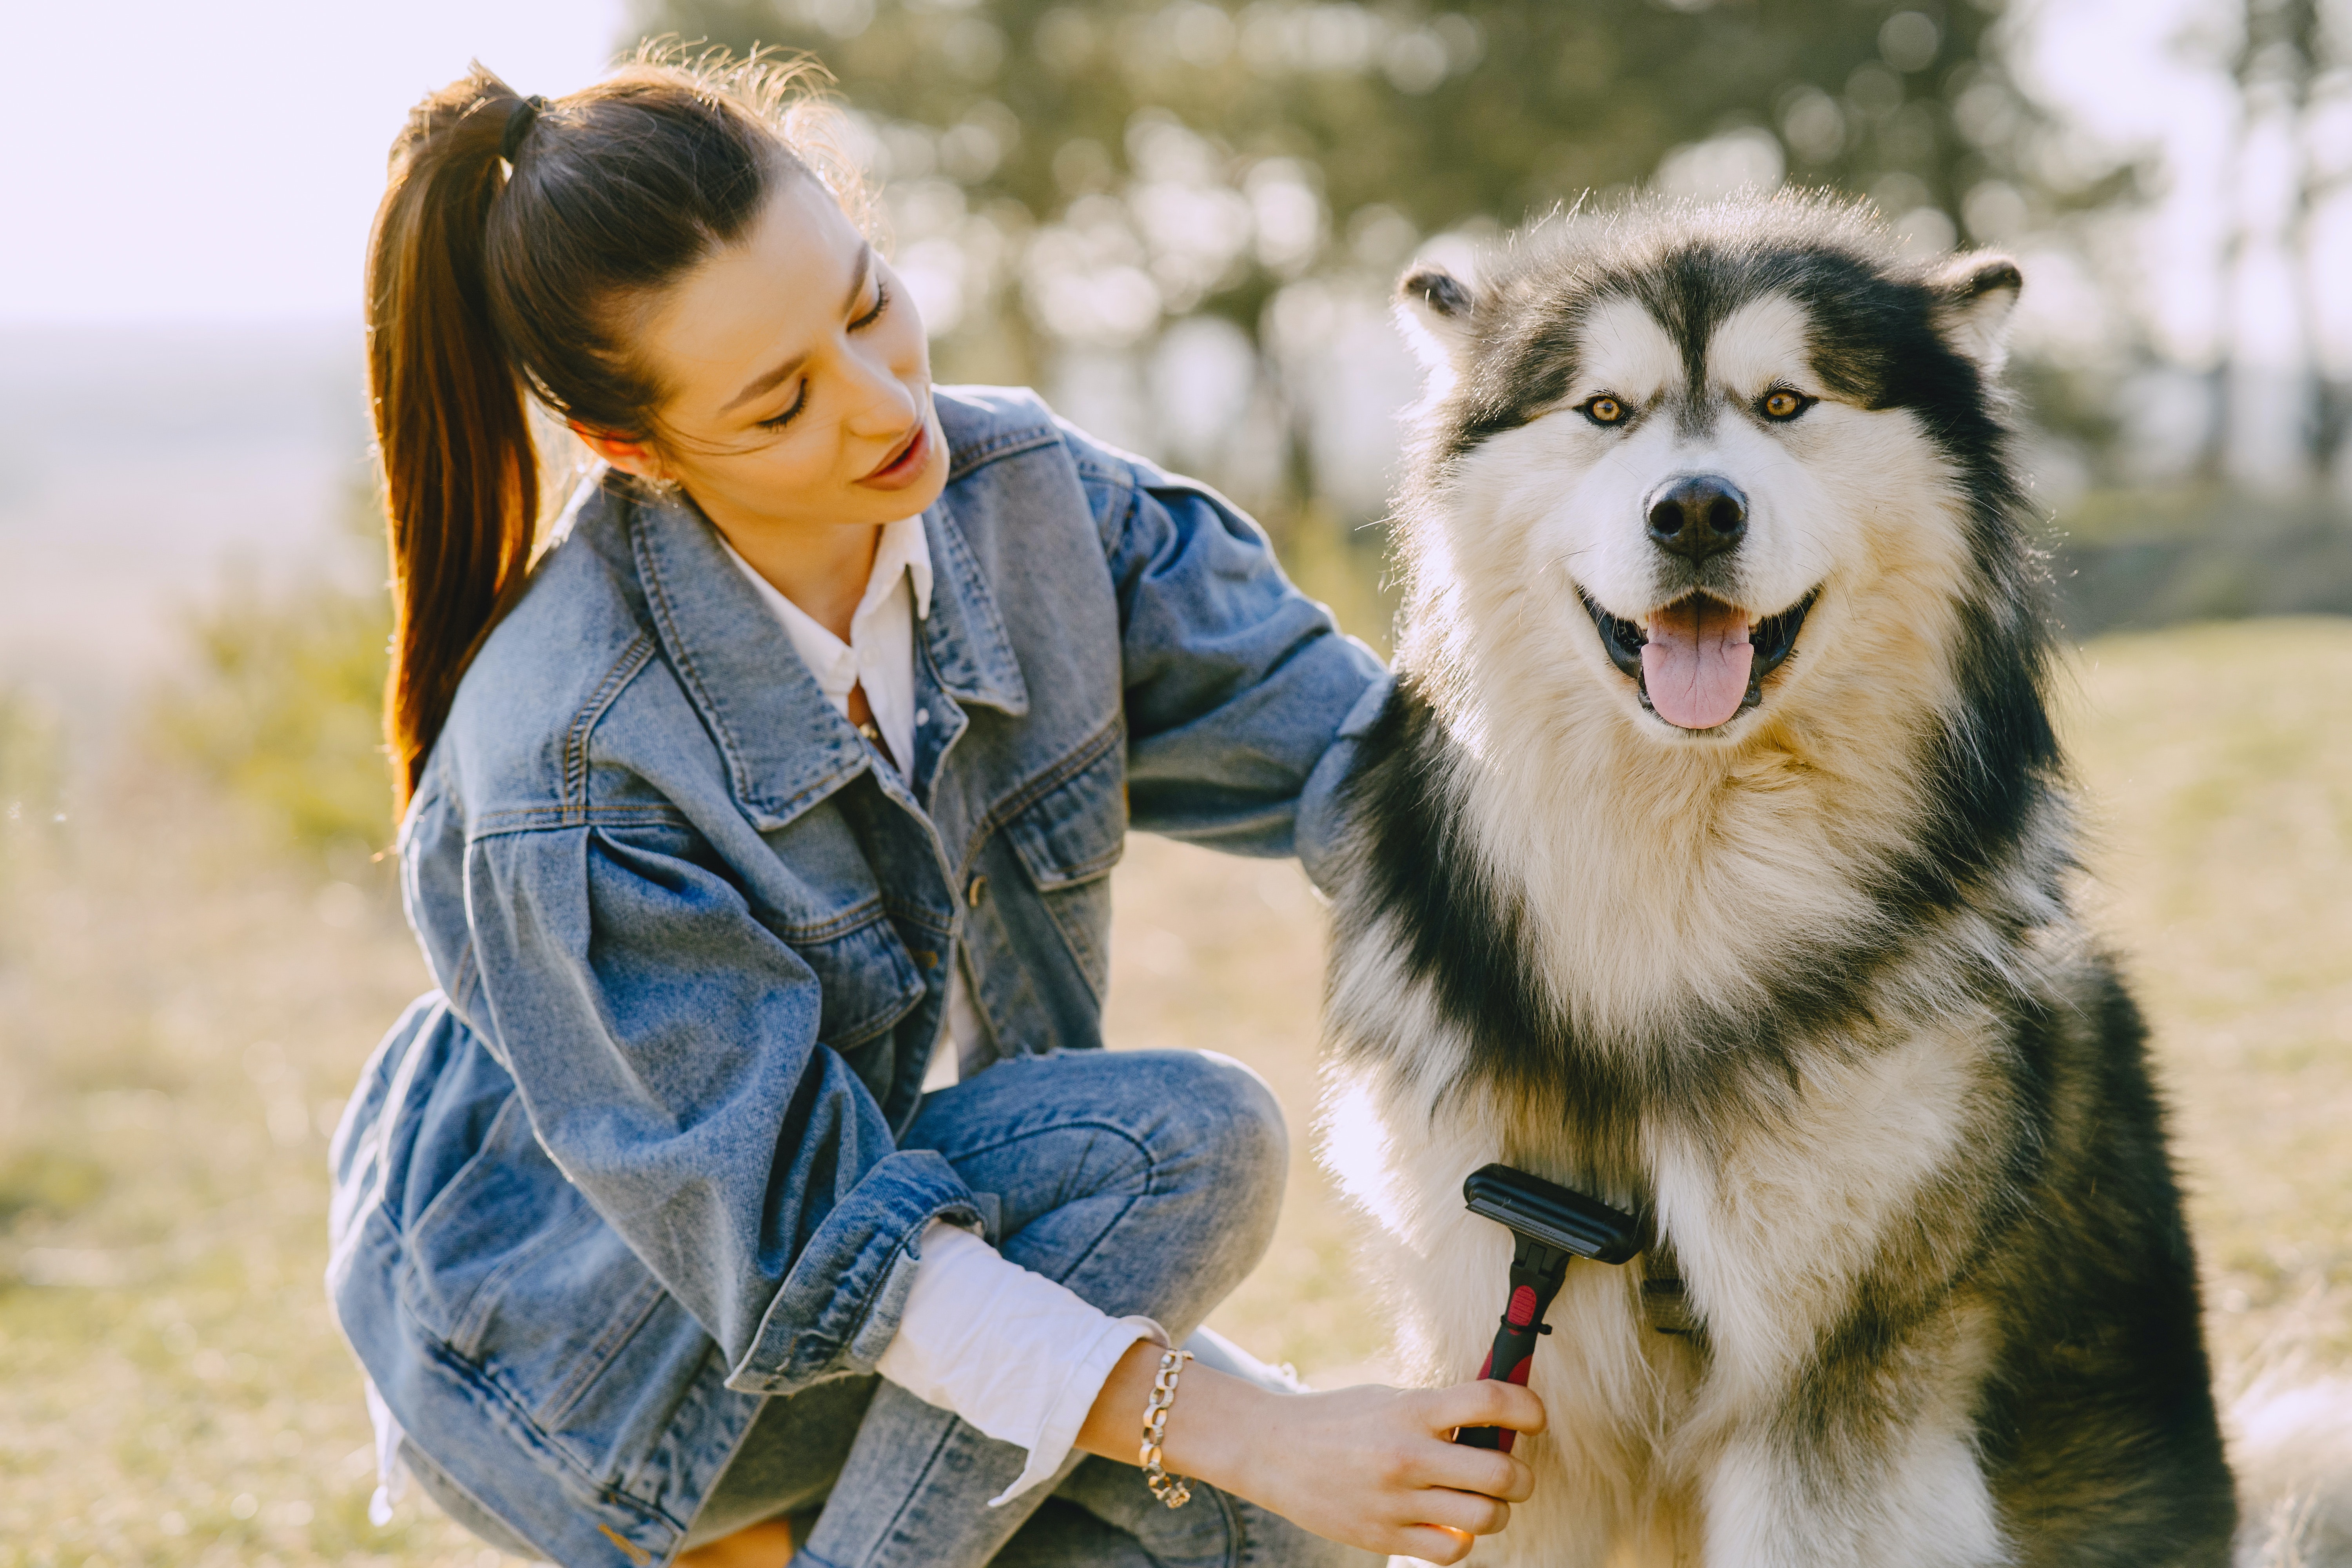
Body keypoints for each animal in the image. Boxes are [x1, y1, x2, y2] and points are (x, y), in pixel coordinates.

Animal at [1327, 200, 2239, 1568]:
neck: (1691, 863)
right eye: (1604, 410)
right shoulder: (1514, 1376)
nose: (1696, 510)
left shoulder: (1840, 1389)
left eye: (1785, 402)